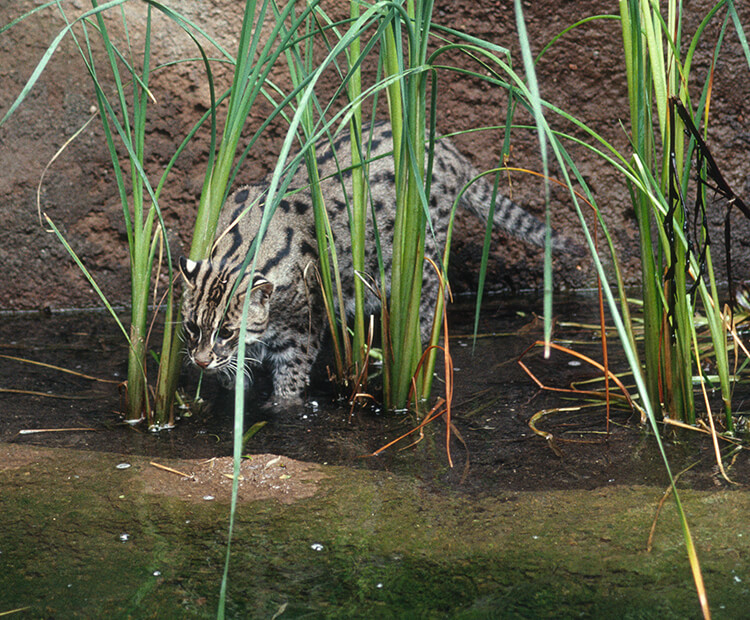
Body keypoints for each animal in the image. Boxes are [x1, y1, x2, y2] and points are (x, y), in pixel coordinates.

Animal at [179, 122, 568, 402]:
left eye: (227, 331)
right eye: (191, 327)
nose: (199, 361)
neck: (239, 247)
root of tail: (444, 146)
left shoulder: (306, 323)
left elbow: (291, 375)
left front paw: (281, 405)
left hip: (422, 262)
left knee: (427, 307)